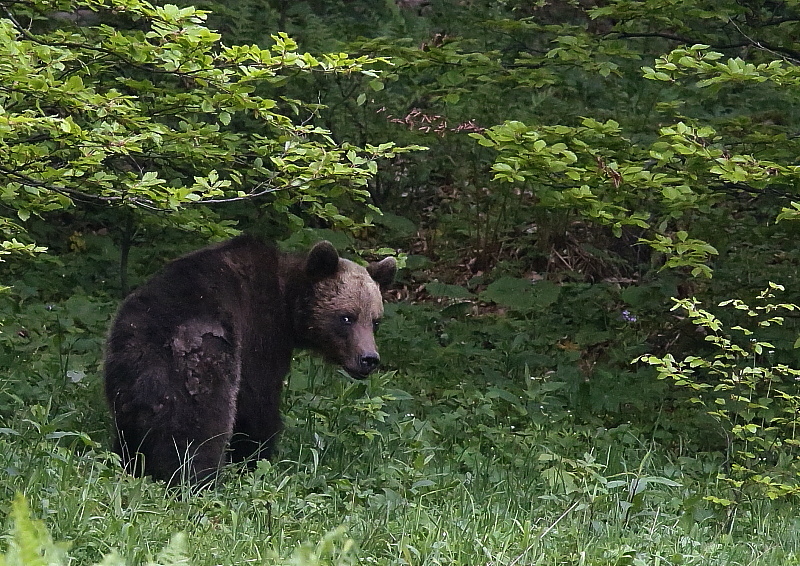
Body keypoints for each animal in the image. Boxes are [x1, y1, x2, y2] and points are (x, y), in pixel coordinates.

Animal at [103, 237, 396, 486]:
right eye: (346, 317)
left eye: (375, 321)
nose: (369, 359)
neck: (288, 302)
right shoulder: (259, 333)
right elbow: (257, 401)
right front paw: (255, 456)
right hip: (201, 361)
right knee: (201, 426)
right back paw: (198, 480)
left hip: (124, 369)